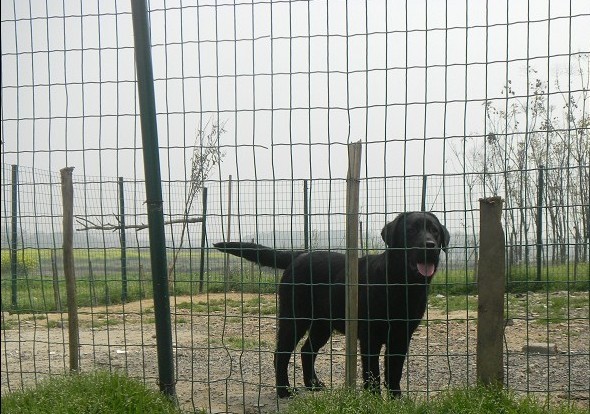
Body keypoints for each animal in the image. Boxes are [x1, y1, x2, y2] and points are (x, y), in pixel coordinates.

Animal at [215, 212, 450, 400]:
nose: (430, 246)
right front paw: (374, 398)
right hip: (295, 318)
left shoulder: (402, 336)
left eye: (435, 231)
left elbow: (394, 371)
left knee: (306, 351)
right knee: (281, 354)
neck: (401, 285)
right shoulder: (370, 337)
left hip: (322, 325)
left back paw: (313, 385)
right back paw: (284, 391)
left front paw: (396, 399)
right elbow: (372, 372)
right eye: (410, 230)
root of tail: (299, 255)